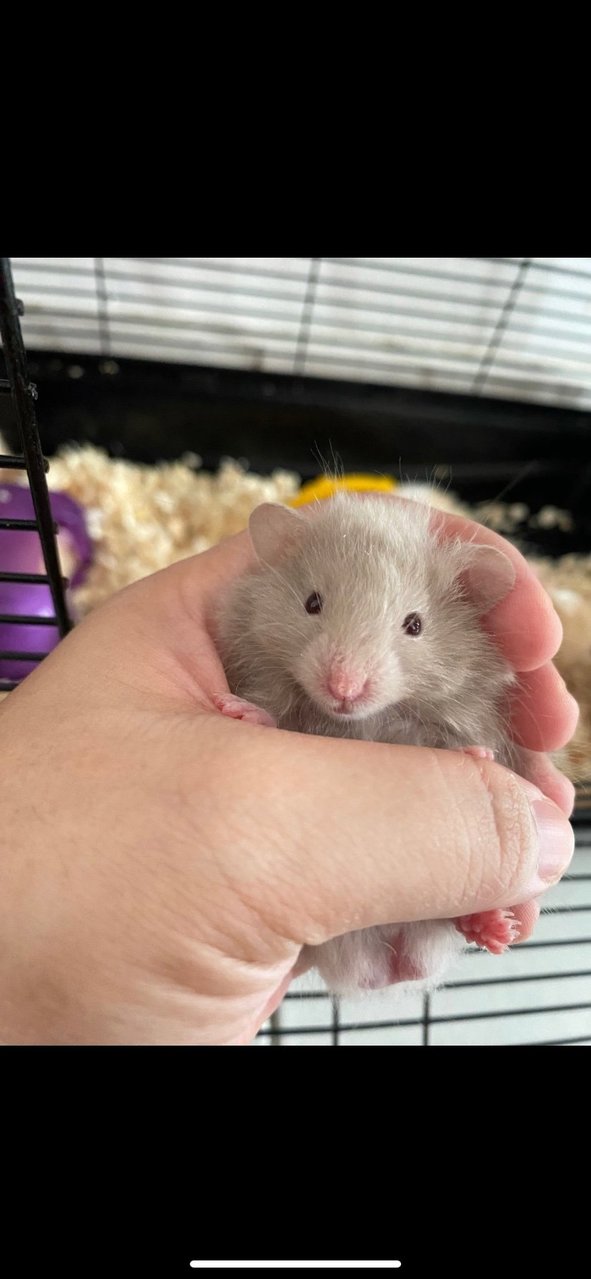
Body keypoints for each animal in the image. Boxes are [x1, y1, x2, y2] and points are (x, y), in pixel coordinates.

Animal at [212, 493, 521, 992]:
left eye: (414, 625)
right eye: (312, 602)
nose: (344, 689)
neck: (361, 722)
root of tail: (390, 962)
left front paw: (476, 754)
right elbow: (275, 715)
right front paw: (238, 710)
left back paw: (495, 929)